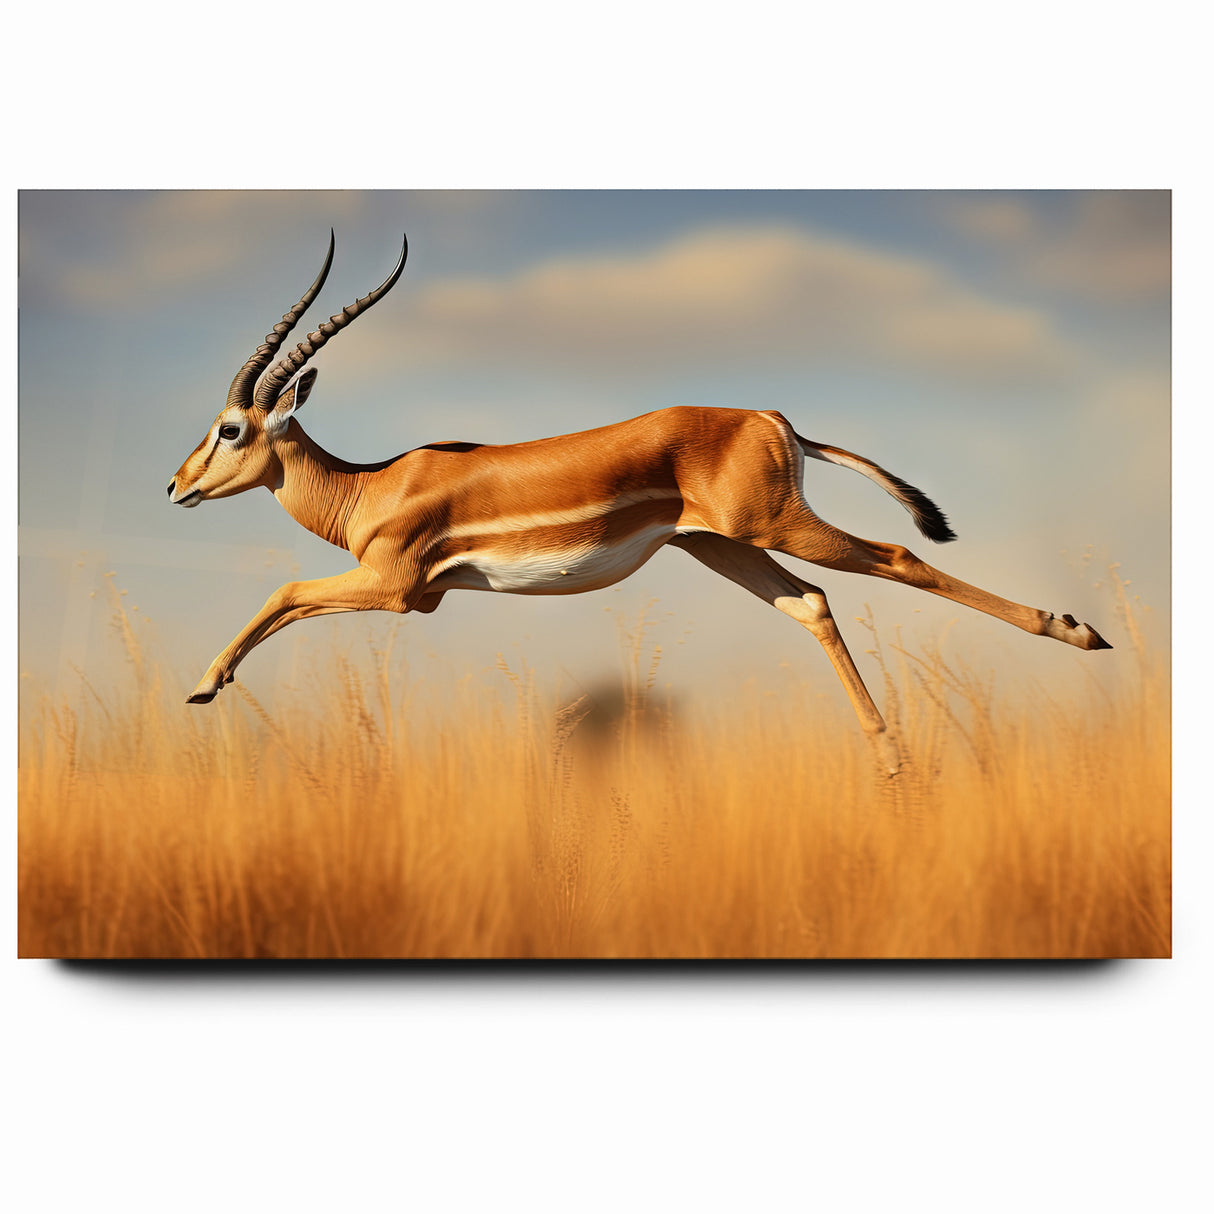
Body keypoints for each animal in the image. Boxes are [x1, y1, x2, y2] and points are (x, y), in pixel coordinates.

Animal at [168, 232, 1112, 773]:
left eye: (229, 428)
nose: (176, 486)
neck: (370, 484)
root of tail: (772, 418)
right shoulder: (405, 593)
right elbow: (291, 601)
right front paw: (210, 685)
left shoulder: (400, 589)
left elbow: (285, 591)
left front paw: (204, 686)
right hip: (720, 546)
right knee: (812, 604)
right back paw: (890, 758)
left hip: (774, 526)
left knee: (900, 557)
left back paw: (1077, 631)